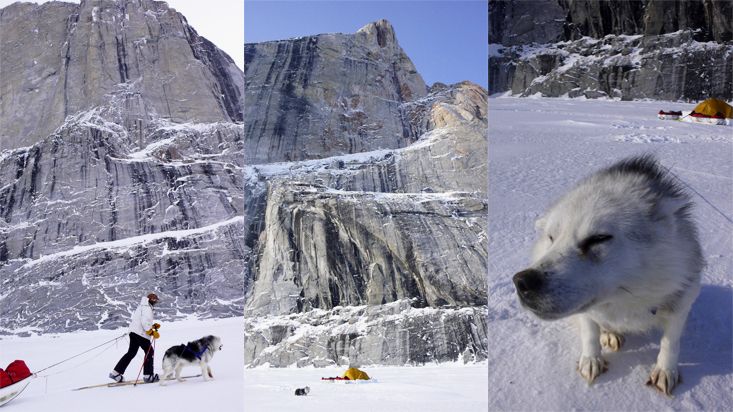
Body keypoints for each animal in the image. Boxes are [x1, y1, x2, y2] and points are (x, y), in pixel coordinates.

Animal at [512, 155, 700, 396]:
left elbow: (671, 342)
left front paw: (666, 370)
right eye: (552, 238)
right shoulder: (585, 311)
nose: (522, 282)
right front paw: (591, 359)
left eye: (598, 238)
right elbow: (590, 331)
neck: (626, 300)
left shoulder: (682, 301)